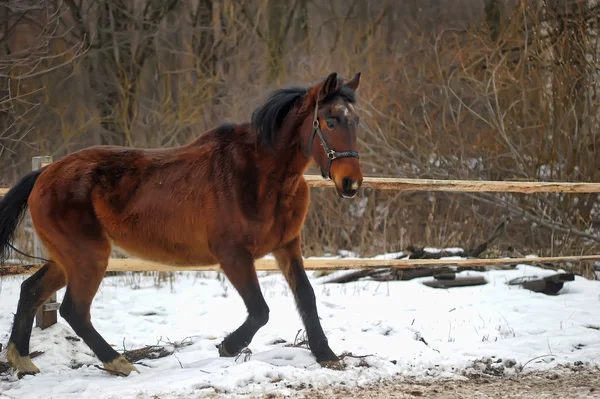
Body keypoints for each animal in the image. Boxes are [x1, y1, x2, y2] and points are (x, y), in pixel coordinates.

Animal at [0, 71, 364, 378]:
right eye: (330, 121)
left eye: (356, 121)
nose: (351, 183)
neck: (260, 177)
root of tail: (44, 174)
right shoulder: (233, 255)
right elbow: (260, 310)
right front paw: (228, 346)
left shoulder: (287, 247)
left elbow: (306, 296)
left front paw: (327, 355)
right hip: (88, 257)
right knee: (74, 310)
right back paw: (120, 364)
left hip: (68, 259)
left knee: (31, 290)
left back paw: (24, 360)